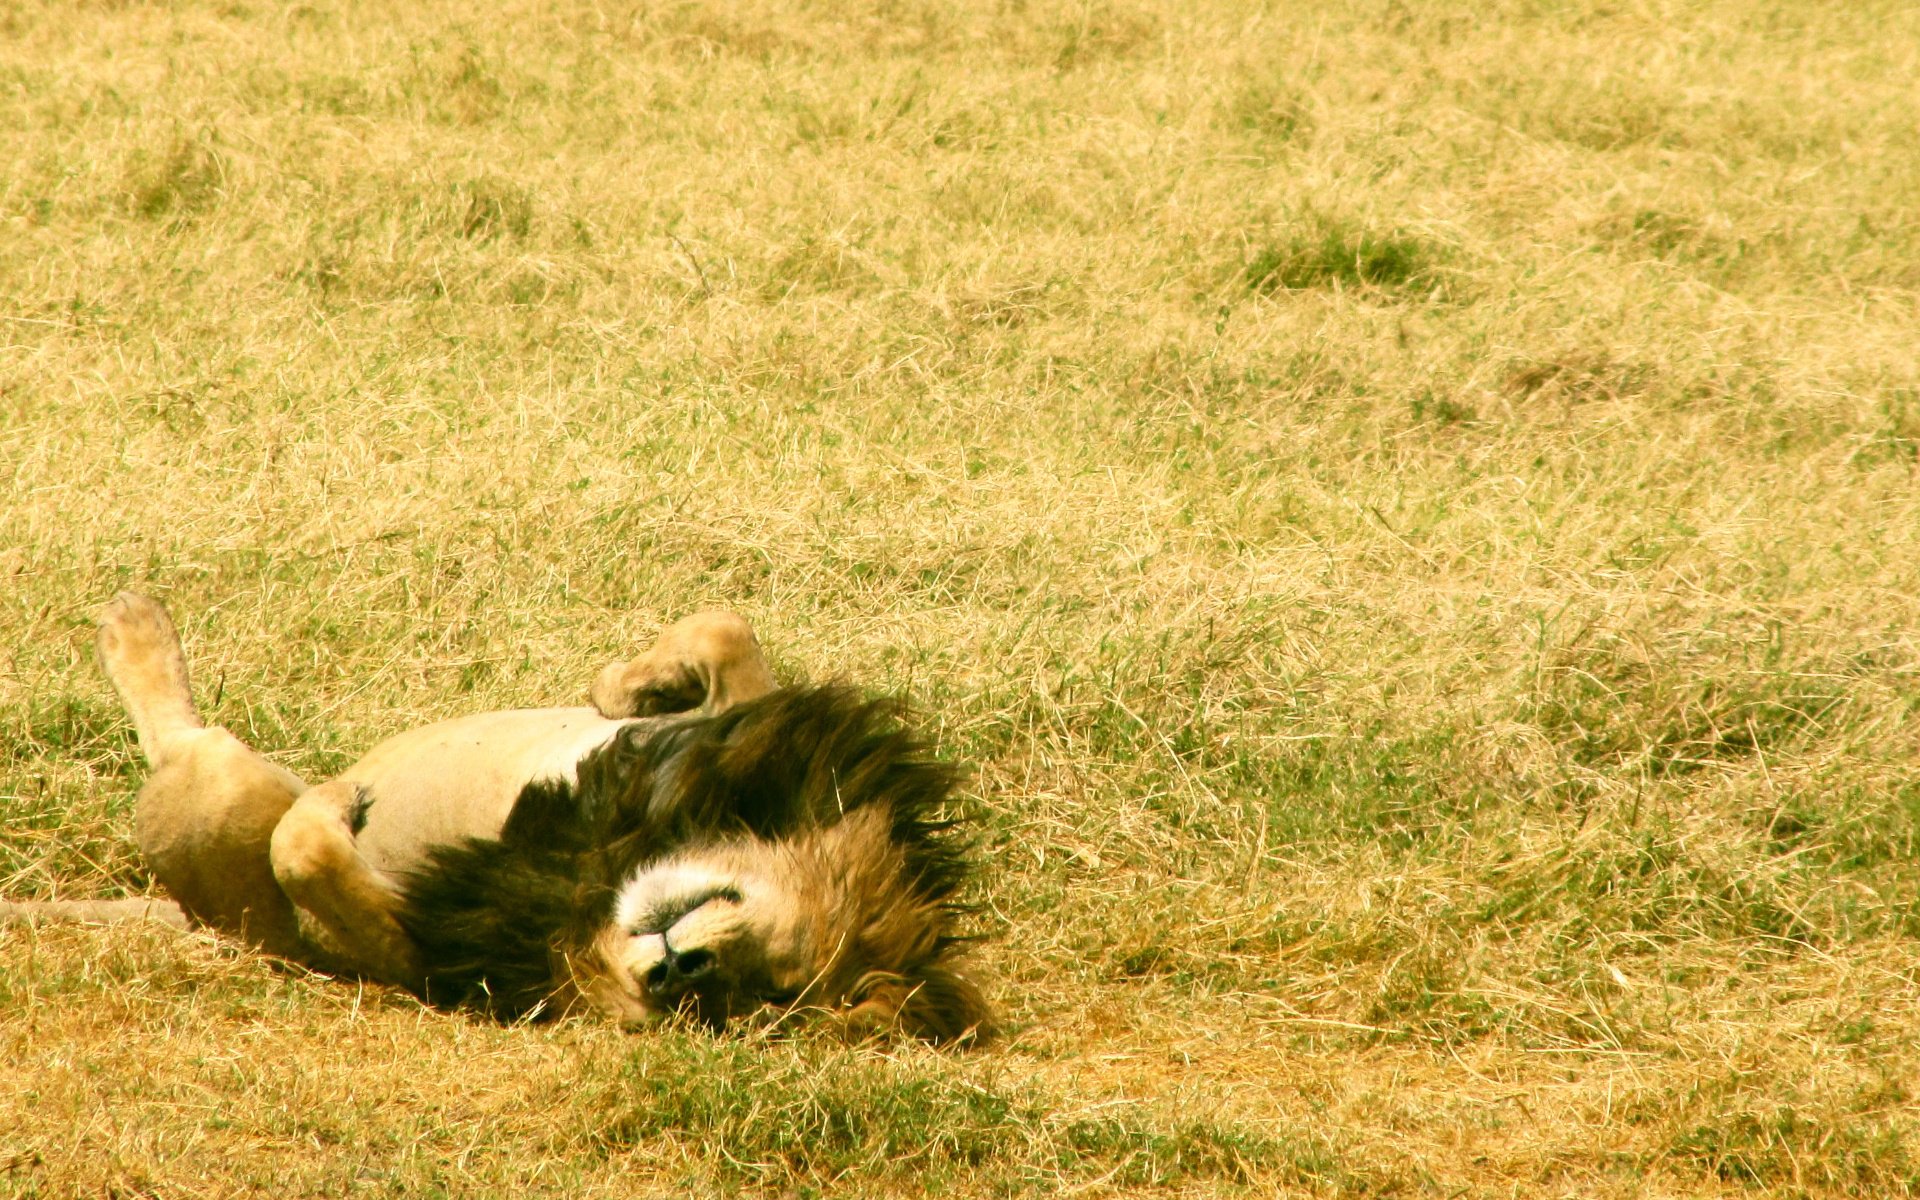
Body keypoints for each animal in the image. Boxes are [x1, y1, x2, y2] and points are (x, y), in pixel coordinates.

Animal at [1, 594, 990, 1043]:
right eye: (780, 979)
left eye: (763, 998)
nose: (686, 972)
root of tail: (182, 911)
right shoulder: (749, 739)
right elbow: (724, 633)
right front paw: (627, 684)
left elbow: (318, 866)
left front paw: (353, 845)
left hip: (225, 801)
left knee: (198, 758)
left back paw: (141, 638)